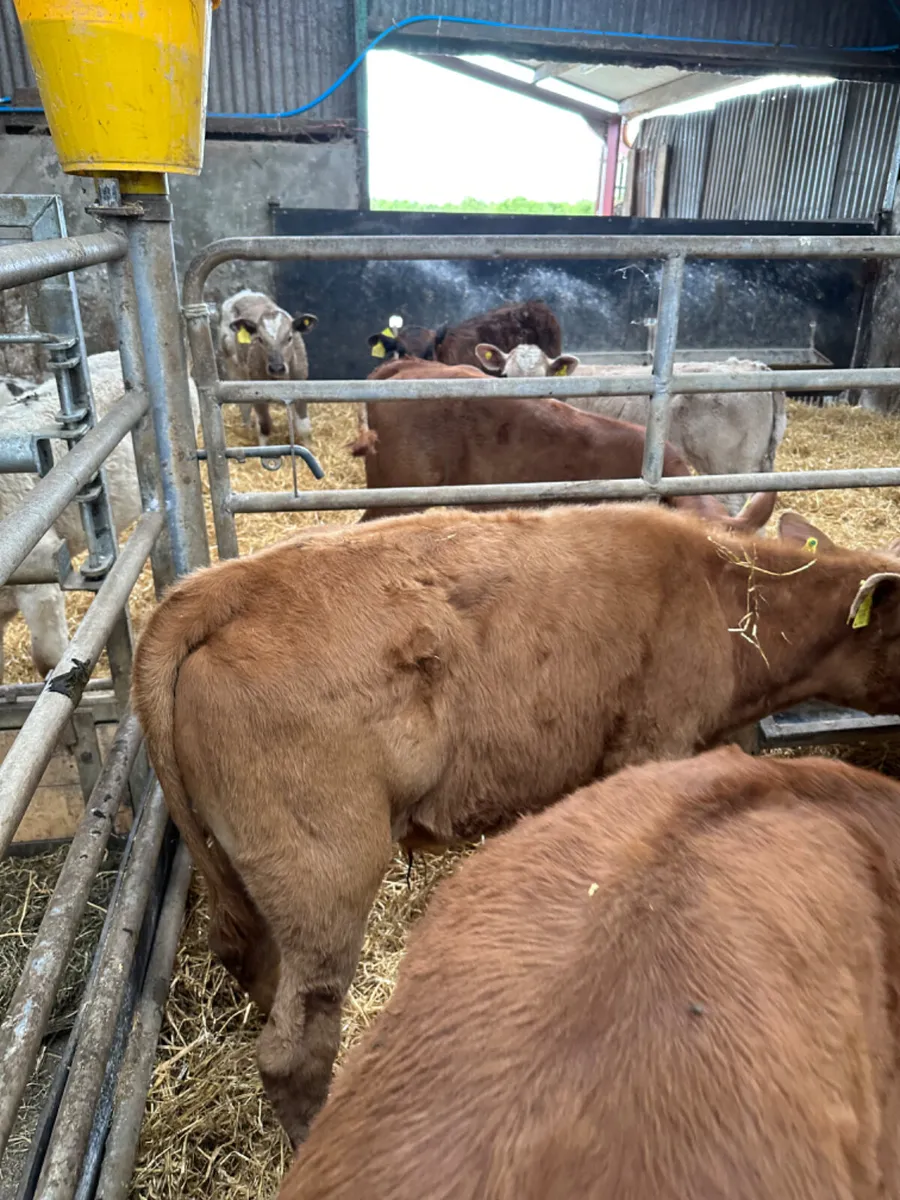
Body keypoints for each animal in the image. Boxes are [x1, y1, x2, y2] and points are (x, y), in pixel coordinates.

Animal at [131, 502, 900, 1146]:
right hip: (324, 869)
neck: (721, 594)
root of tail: (223, 585)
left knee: (252, 960)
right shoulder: (652, 746)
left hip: (247, 871)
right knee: (295, 1046)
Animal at [218, 289, 318, 445]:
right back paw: (247, 427)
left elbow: (304, 427)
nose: (277, 367)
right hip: (233, 367)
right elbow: (265, 426)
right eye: (260, 339)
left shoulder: (301, 385)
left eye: (289, 337)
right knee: (244, 406)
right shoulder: (257, 392)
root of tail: (245, 293)